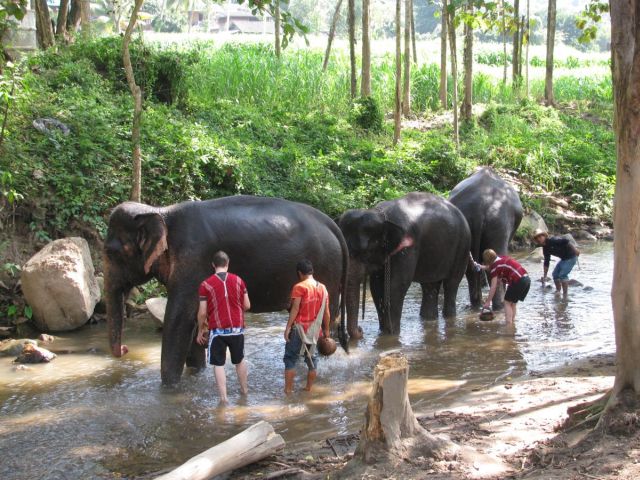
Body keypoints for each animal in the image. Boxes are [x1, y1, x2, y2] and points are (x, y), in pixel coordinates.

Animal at [103, 195, 348, 386]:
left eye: (111, 252)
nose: (125, 348)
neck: (160, 212)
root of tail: (332, 224)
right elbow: (195, 317)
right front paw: (196, 375)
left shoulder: (192, 260)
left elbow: (178, 318)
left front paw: (169, 389)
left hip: (326, 269)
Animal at [336, 191, 470, 338]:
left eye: (366, 252)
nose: (361, 329)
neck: (381, 215)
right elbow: (376, 287)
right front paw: (383, 332)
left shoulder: (407, 248)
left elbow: (396, 285)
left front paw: (391, 334)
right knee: (430, 286)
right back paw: (428, 319)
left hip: (463, 246)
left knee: (451, 284)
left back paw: (449, 317)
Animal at [448, 167, 524, 310]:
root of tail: (480, 207)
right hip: (498, 223)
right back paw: (499, 306)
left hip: (469, 224)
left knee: (470, 268)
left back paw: (476, 304)